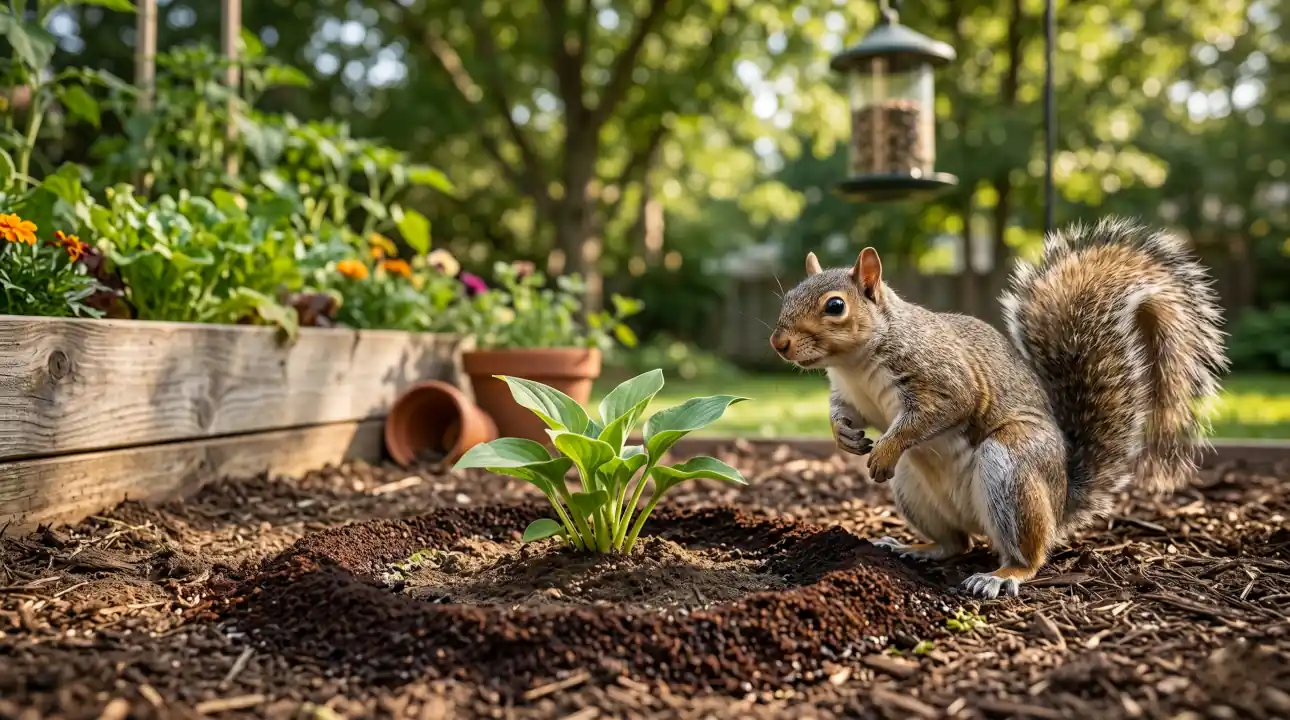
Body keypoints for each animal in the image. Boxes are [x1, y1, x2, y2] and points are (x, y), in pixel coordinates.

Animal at [769, 216, 1228, 598]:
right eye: (787, 296)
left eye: (835, 306)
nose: (779, 343)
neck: (855, 365)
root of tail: (1060, 502)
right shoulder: (851, 397)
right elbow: (844, 415)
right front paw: (843, 436)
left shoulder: (945, 380)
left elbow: (934, 413)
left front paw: (885, 449)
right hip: (914, 487)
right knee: (955, 543)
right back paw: (916, 547)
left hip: (1013, 464)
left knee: (1028, 554)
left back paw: (1001, 576)